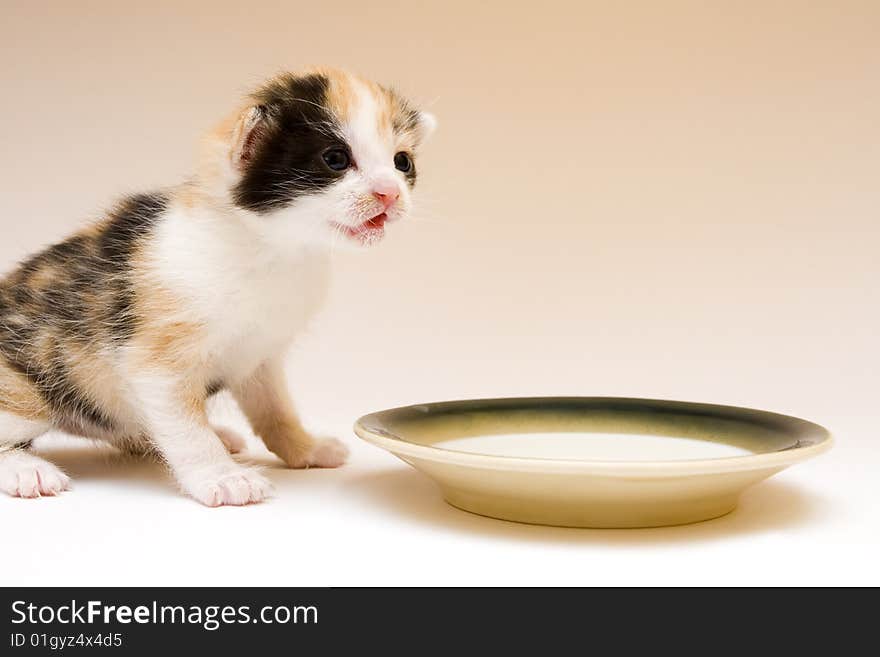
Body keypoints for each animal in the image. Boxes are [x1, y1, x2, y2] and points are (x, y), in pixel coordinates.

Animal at [0, 68, 436, 508]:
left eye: (402, 162)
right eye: (335, 159)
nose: (390, 193)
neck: (271, 249)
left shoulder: (261, 354)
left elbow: (274, 409)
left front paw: (303, 447)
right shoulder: (156, 362)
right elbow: (187, 428)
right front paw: (221, 476)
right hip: (35, 387)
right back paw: (25, 470)